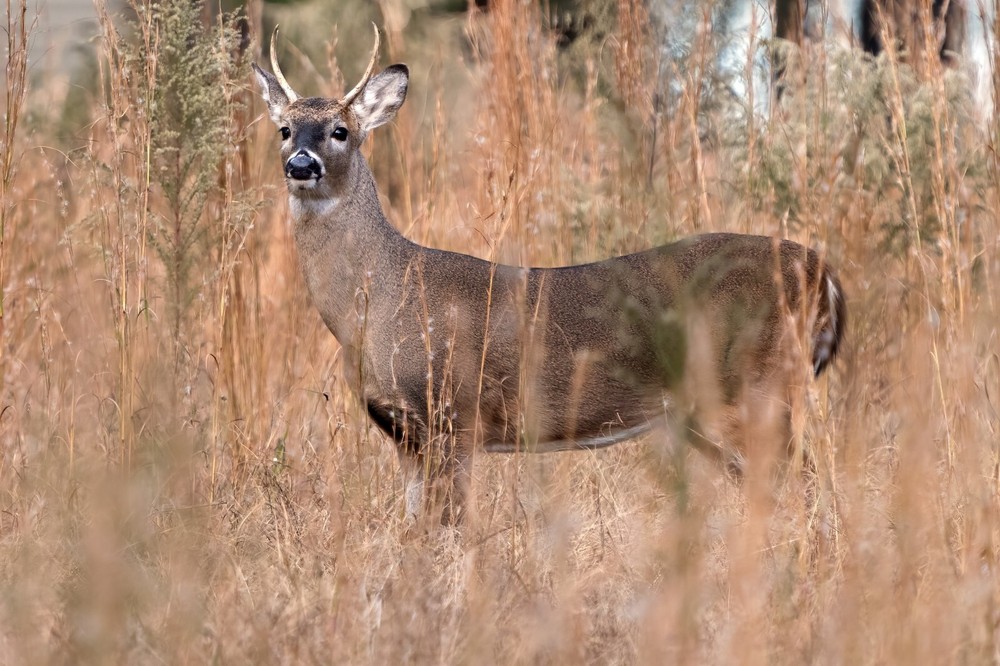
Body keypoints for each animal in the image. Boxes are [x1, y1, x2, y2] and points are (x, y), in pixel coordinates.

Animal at [252, 26, 846, 525]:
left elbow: (448, 530)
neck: (378, 300)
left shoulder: (454, 414)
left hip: (754, 387)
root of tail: (821, 270)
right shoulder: (407, 436)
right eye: (284, 129)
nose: (301, 164)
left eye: (340, 131)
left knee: (808, 488)